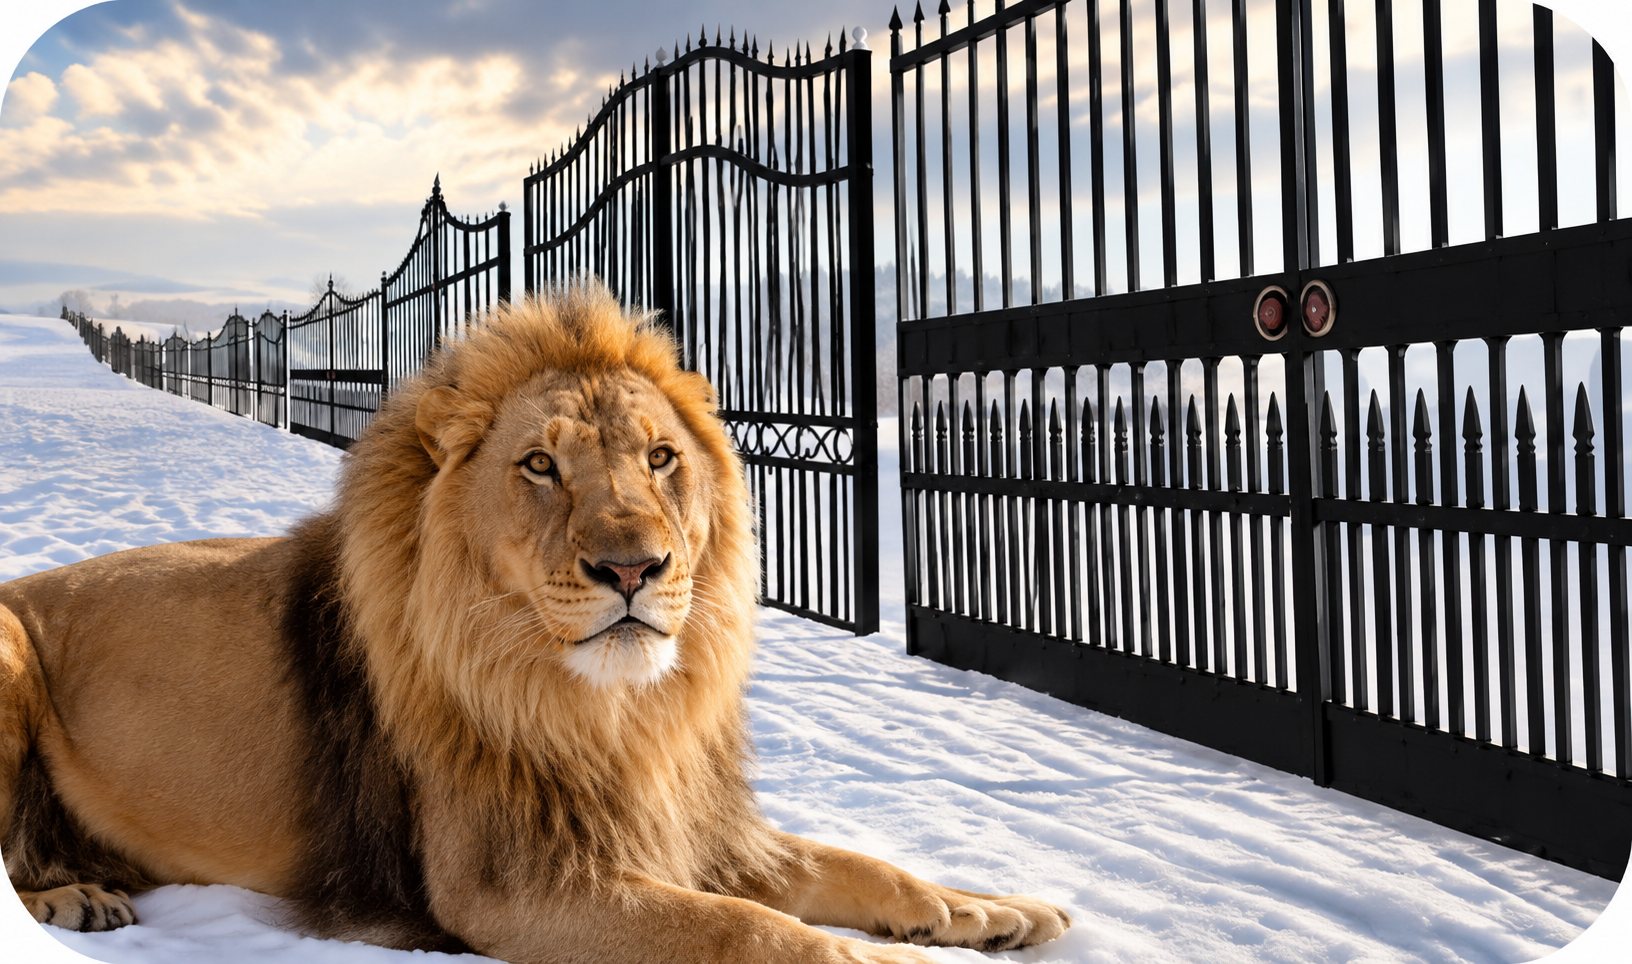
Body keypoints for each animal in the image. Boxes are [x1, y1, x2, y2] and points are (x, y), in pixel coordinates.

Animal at [0, 285, 1070, 962]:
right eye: (541, 466)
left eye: (661, 459)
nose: (634, 568)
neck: (616, 710)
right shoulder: (513, 887)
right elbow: (748, 930)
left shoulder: (684, 821)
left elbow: (862, 866)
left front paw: (988, 908)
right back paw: (71, 896)